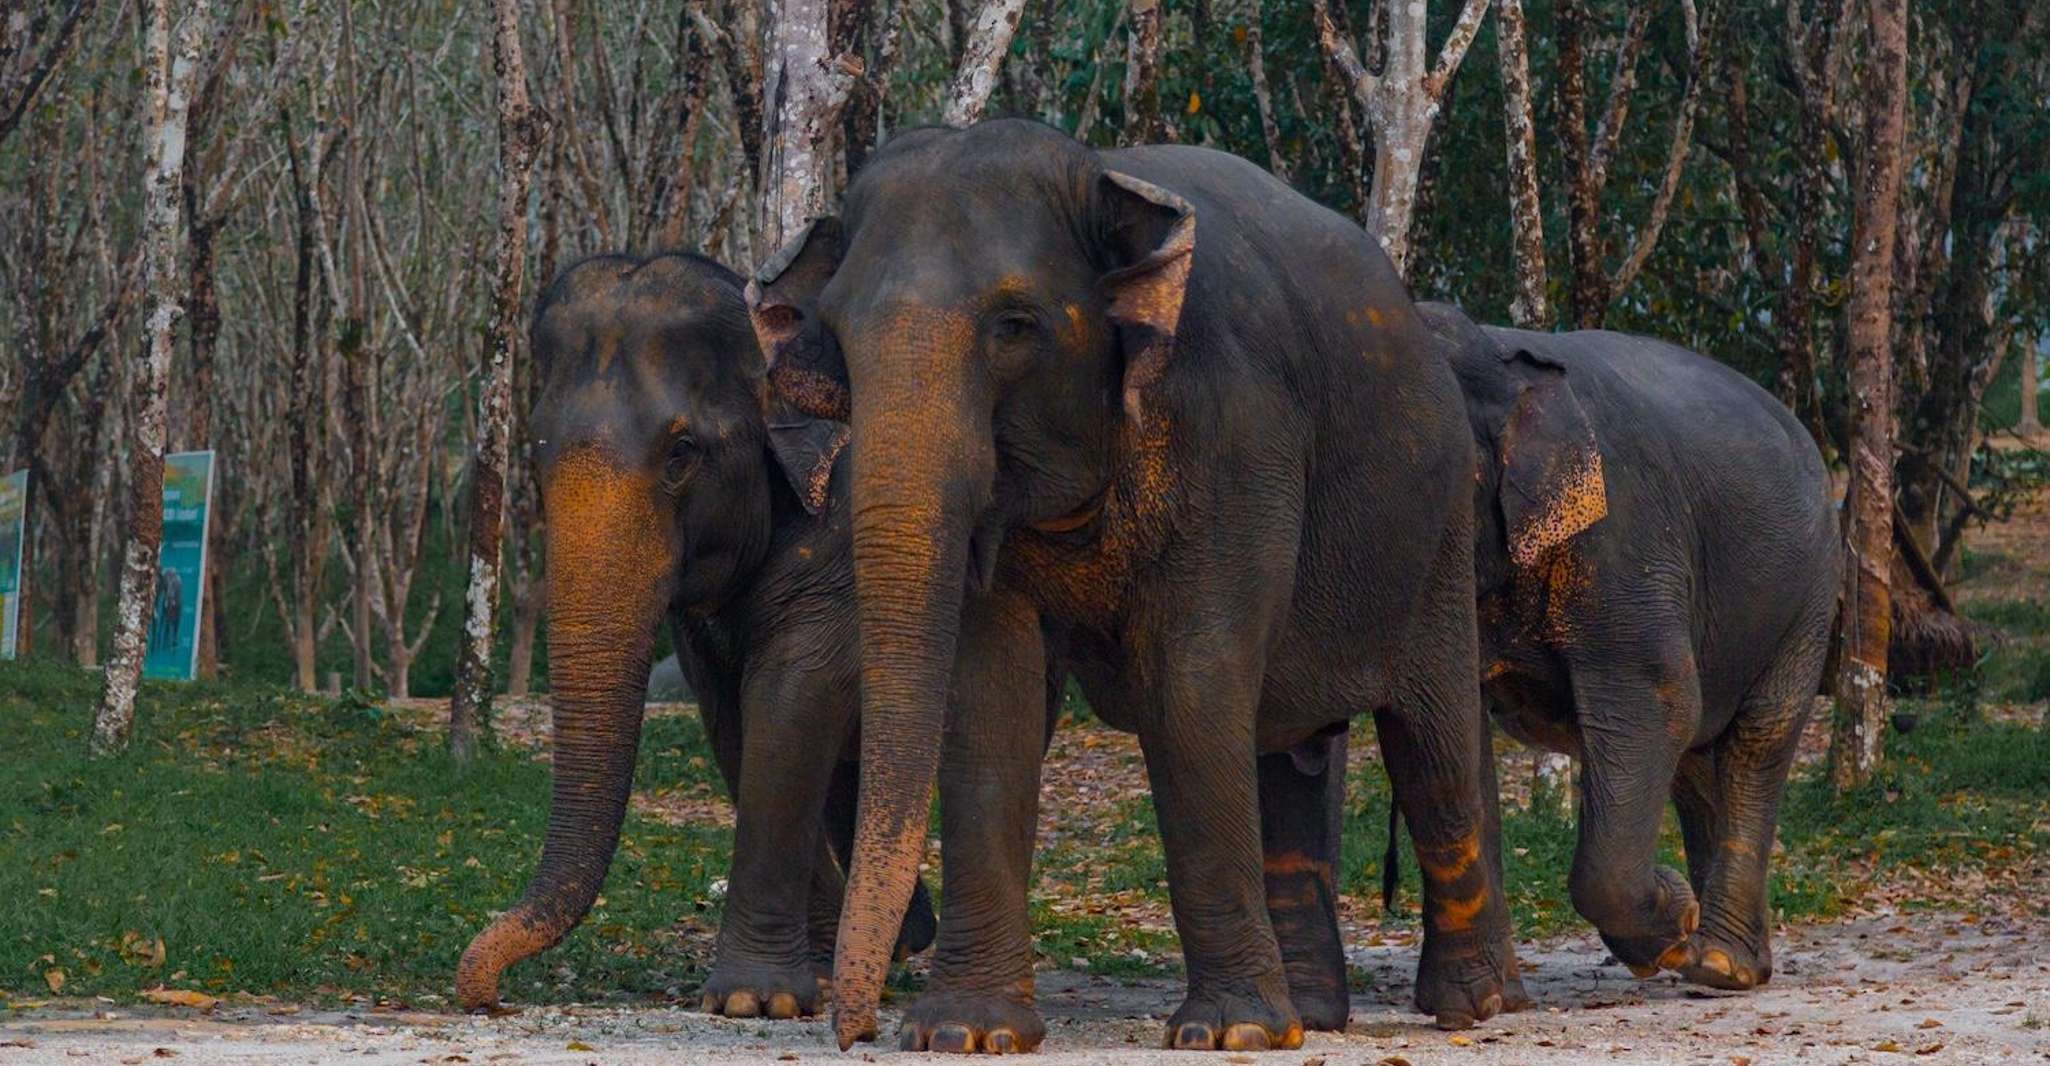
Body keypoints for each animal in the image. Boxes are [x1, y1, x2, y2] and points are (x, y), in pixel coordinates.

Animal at [454, 251, 949, 1017]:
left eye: (682, 451)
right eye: (535, 450)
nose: (485, 993)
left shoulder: (845, 537)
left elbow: (790, 702)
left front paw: (755, 1000)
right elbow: (734, 721)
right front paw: (813, 980)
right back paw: (897, 944)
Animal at [749, 119, 1522, 1052]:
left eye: (1015, 325)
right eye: (838, 335)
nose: (854, 1030)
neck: (1098, 175)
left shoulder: (1239, 437)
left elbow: (1192, 684)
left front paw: (1230, 1034)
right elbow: (991, 695)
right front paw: (966, 1033)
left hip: (1435, 528)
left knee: (1433, 740)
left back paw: (1468, 1005)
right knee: (1287, 752)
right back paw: (1311, 1014)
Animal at [1412, 301, 1841, 991]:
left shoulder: (1623, 539)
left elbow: (1658, 698)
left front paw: (1670, 924)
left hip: (1809, 589)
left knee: (1757, 736)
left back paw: (1718, 964)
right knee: (1696, 753)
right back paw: (1721, 954)